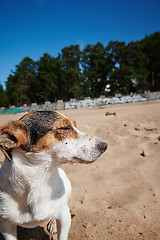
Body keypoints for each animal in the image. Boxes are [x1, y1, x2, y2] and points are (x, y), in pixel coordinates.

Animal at [0, 111, 107, 240]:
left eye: (75, 125)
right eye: (64, 128)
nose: (105, 145)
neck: (40, 180)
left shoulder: (64, 216)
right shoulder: (6, 226)